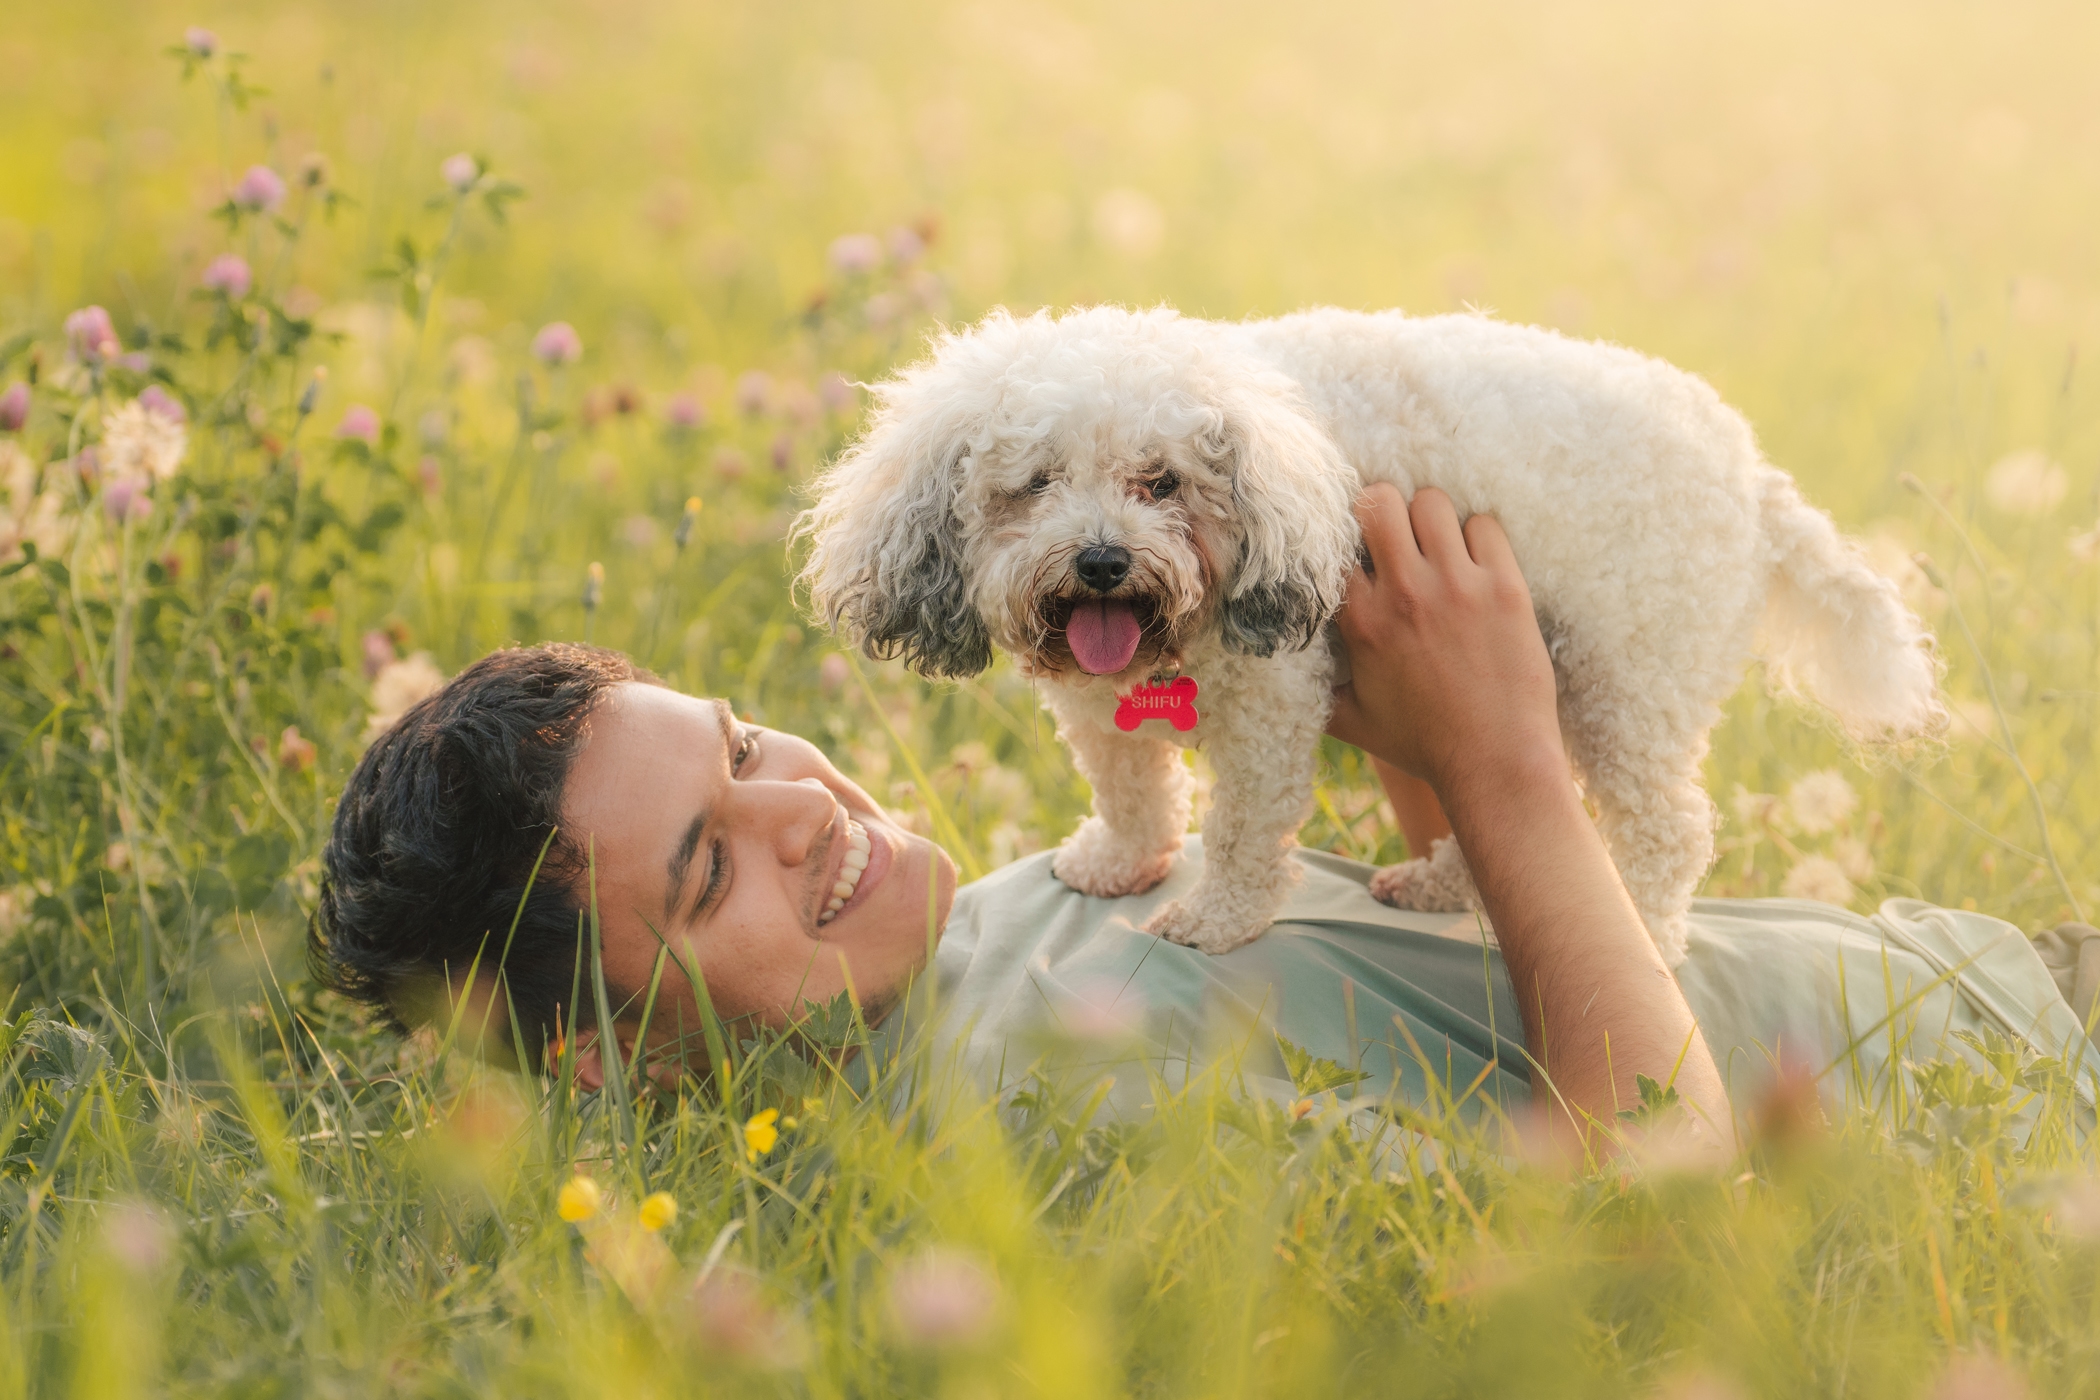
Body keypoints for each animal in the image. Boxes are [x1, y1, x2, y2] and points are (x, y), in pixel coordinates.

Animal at [793, 306, 1940, 965]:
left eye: (1162, 482)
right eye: (1031, 485)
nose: (1104, 562)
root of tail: (1752, 474)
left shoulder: (1271, 699)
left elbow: (1243, 829)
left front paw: (1216, 919)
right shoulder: (1093, 700)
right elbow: (1128, 787)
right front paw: (1119, 860)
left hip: (1629, 679)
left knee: (1666, 833)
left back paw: (1653, 942)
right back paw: (1441, 883)